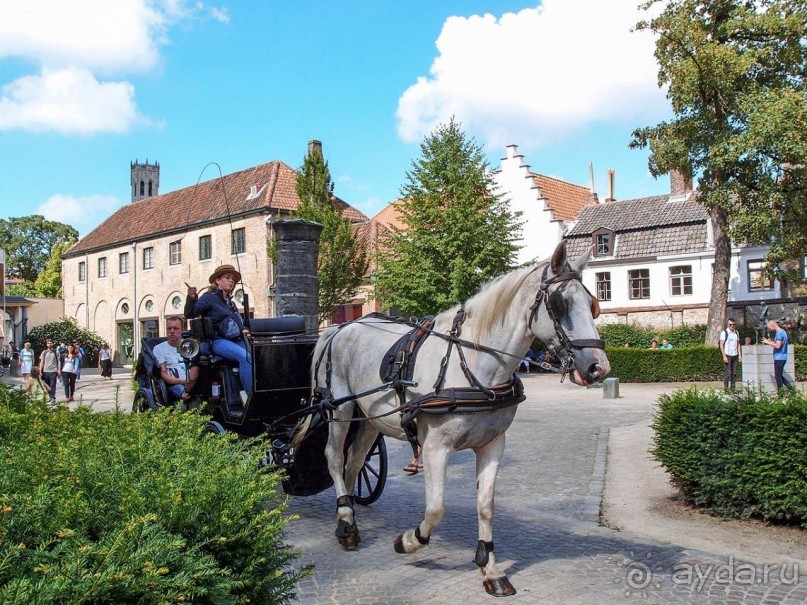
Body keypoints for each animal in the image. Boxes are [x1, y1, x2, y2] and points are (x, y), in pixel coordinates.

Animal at [300, 242, 608, 596]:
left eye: (592, 303)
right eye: (560, 304)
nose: (598, 367)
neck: (475, 364)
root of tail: (339, 328)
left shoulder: (493, 444)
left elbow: (486, 505)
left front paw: (490, 567)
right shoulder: (435, 447)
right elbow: (436, 509)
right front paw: (409, 541)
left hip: (369, 418)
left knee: (354, 462)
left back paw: (348, 513)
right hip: (340, 409)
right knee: (335, 458)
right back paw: (346, 523)